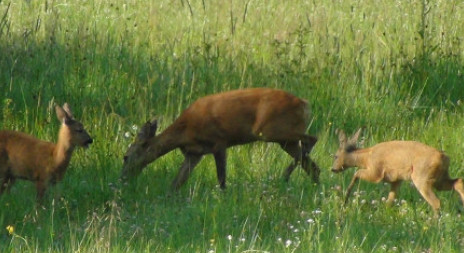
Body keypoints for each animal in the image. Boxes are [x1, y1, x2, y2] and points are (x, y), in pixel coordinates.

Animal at [121, 88, 320, 189]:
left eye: (125, 156)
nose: (122, 178)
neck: (185, 131)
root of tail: (304, 104)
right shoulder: (194, 153)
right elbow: (177, 182)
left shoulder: (219, 141)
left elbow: (221, 178)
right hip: (284, 139)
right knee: (312, 165)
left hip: (270, 130)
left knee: (312, 139)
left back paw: (285, 175)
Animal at [332, 128, 464, 213]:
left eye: (336, 156)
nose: (333, 169)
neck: (367, 157)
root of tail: (444, 157)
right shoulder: (396, 180)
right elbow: (390, 200)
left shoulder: (376, 172)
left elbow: (357, 172)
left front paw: (346, 197)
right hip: (440, 179)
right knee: (458, 182)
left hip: (422, 177)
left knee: (436, 202)